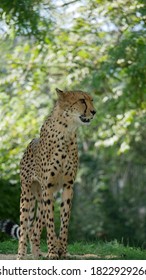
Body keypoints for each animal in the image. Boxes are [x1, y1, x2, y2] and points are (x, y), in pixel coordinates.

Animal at [4, 88, 96, 260]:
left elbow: (65, 220)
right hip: (28, 195)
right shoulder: (48, 186)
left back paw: (37, 255)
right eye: (81, 100)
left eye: (91, 100)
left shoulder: (68, 186)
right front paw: (53, 251)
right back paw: (21, 255)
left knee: (34, 230)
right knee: (25, 229)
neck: (68, 130)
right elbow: (51, 221)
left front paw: (63, 251)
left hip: (41, 199)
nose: (94, 111)